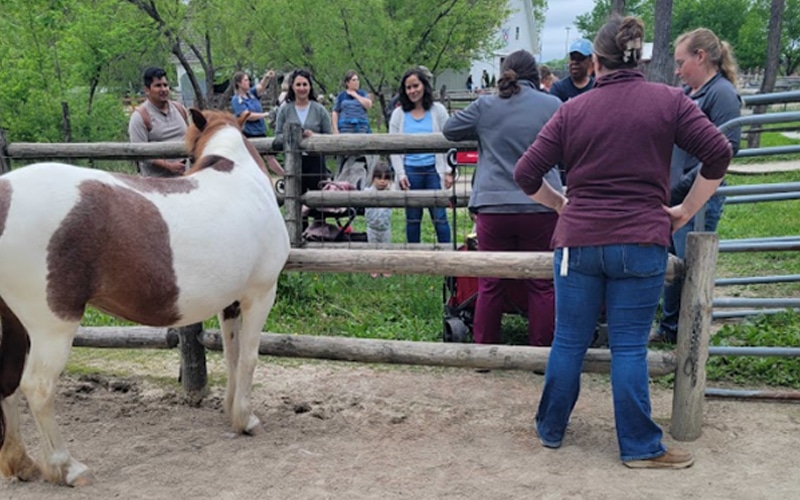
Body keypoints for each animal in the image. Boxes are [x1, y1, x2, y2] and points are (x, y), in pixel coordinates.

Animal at [0, 109, 290, 486]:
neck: (239, 176)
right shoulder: (260, 293)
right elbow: (250, 358)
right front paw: (247, 420)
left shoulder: (230, 303)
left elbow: (233, 355)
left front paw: (232, 412)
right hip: (52, 326)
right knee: (38, 387)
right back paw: (67, 468)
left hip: (13, 323)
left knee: (7, 379)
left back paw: (22, 463)